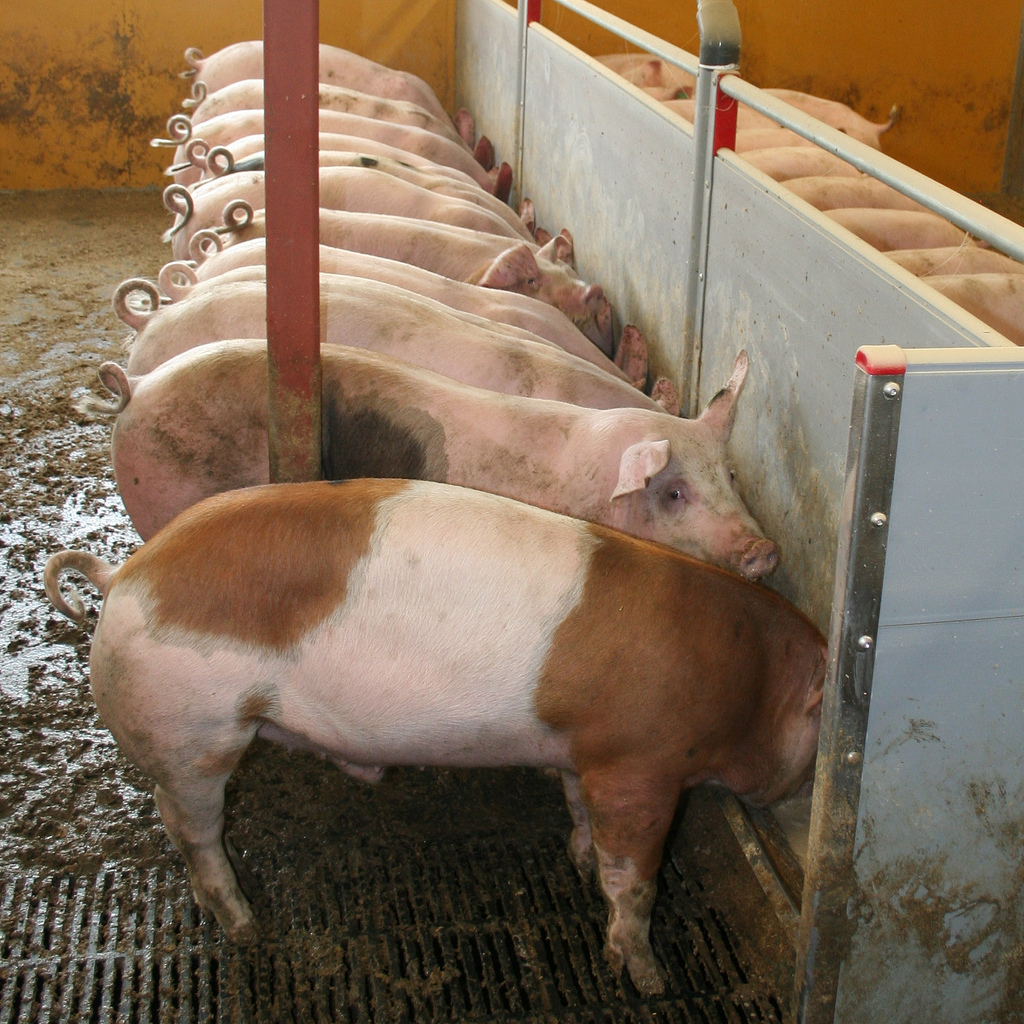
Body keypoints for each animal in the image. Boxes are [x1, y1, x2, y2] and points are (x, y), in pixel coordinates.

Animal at [43, 477, 824, 994]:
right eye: (816, 731)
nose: (801, 805)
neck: (742, 677)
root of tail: (126, 574)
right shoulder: (640, 764)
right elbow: (634, 879)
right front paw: (648, 978)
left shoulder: (583, 751)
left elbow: (579, 814)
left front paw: (575, 858)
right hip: (191, 732)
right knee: (191, 828)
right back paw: (245, 927)